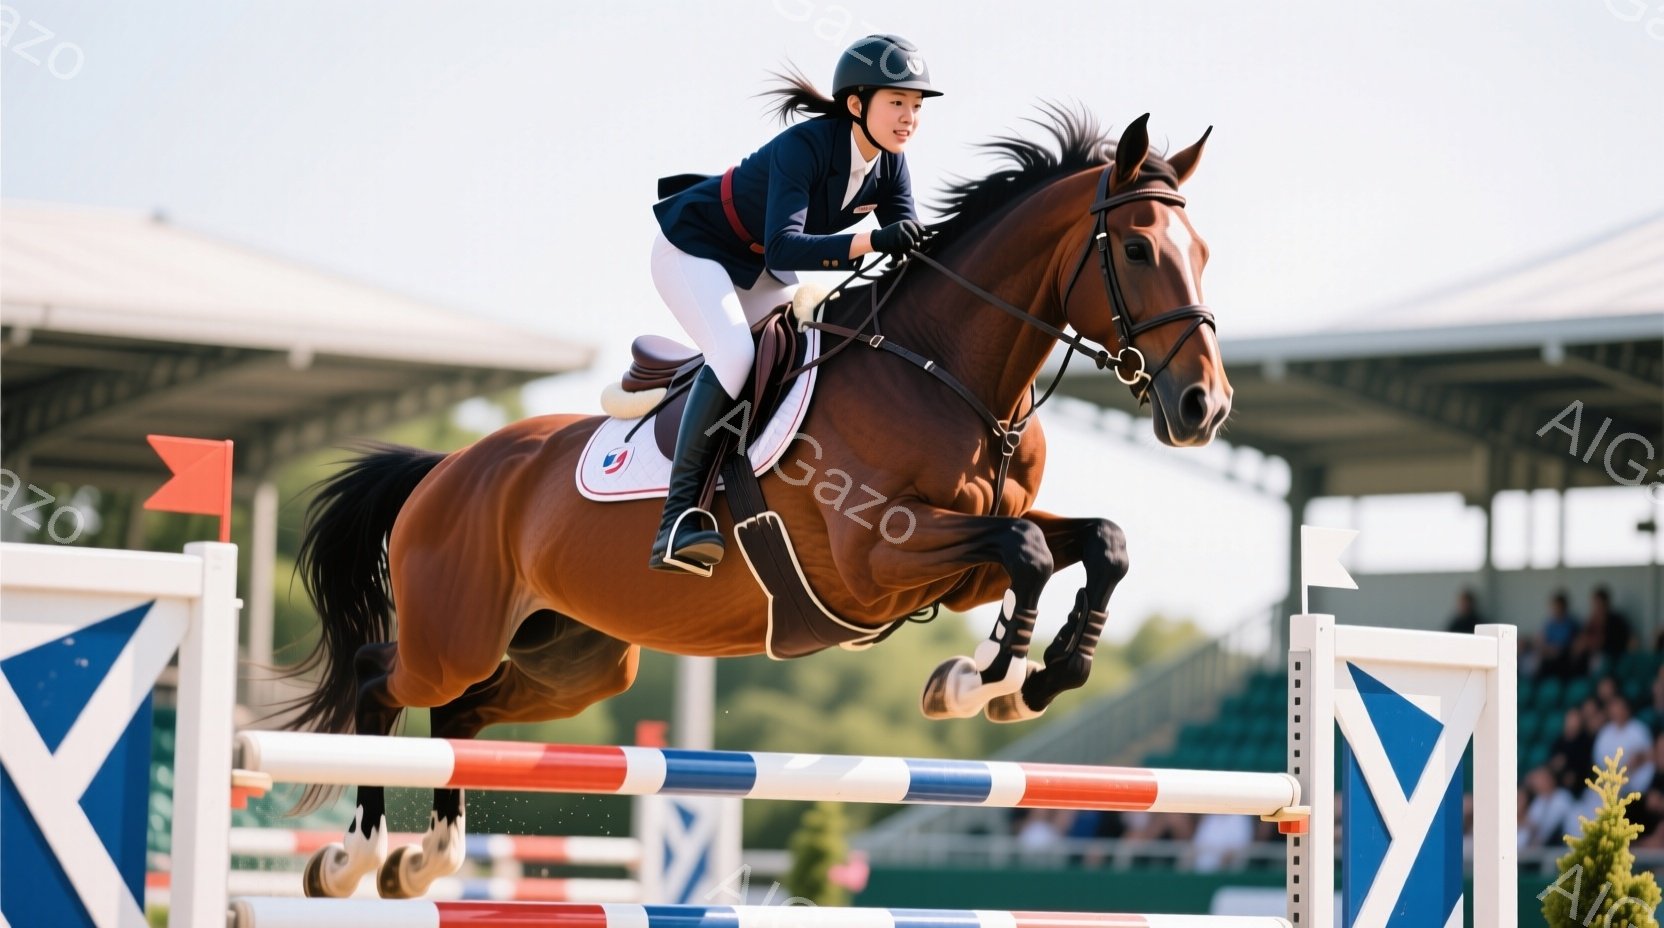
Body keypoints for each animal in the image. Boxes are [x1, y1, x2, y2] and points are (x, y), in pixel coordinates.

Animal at [283, 108, 1231, 899]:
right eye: (1138, 251)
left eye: (1204, 253)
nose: (1205, 407)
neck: (945, 371)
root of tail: (448, 467)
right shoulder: (880, 557)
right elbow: (1028, 551)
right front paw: (978, 680)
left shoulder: (961, 559)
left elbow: (1097, 542)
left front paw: (1028, 680)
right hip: (460, 633)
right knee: (381, 677)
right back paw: (352, 858)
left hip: (577, 659)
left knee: (462, 715)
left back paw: (425, 860)